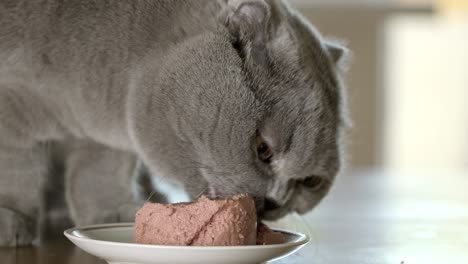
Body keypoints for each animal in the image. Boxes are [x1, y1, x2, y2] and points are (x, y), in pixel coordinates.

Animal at [0, 0, 348, 248]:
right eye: (263, 149)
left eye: (310, 182)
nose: (276, 201)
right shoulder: (12, 103)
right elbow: (16, 169)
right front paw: (11, 220)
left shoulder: (103, 144)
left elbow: (99, 174)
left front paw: (111, 213)